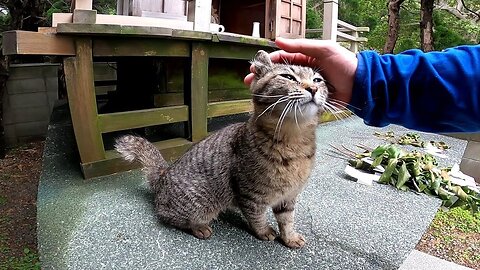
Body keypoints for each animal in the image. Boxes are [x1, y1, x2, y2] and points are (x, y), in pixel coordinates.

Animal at [114, 49, 328, 248]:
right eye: (288, 77)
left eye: (317, 80)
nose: (313, 88)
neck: (294, 139)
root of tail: (163, 174)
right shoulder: (249, 194)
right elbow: (257, 217)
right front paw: (264, 231)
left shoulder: (289, 196)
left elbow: (287, 220)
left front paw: (289, 237)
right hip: (201, 204)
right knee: (166, 215)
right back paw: (198, 227)